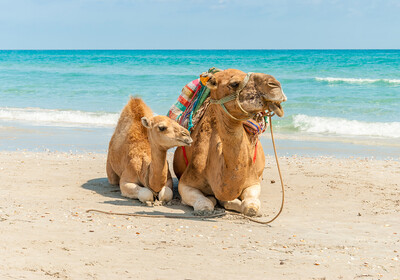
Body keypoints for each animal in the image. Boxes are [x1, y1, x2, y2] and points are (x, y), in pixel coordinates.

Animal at [173, 68, 286, 217]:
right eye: (234, 83)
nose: (275, 85)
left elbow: (250, 206)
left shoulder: (253, 181)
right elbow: (205, 205)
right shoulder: (186, 182)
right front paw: (212, 199)